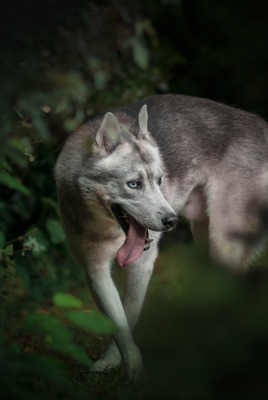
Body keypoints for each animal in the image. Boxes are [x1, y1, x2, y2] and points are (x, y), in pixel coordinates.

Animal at [55, 94, 268, 382]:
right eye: (134, 184)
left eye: (160, 180)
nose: (171, 221)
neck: (106, 228)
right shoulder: (94, 270)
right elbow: (118, 324)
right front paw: (111, 365)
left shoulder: (142, 266)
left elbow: (128, 317)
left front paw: (132, 372)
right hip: (205, 241)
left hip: (223, 246)